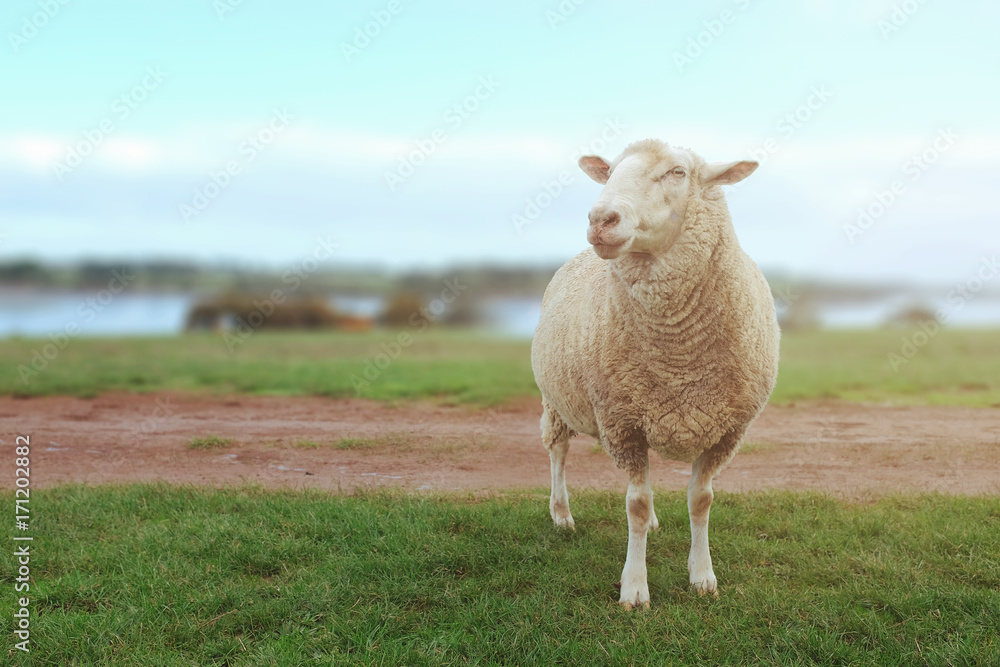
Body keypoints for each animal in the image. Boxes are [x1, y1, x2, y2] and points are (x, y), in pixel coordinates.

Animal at [530, 139, 779, 609]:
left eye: (677, 172)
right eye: (610, 172)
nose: (600, 219)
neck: (679, 359)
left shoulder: (726, 430)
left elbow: (700, 499)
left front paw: (702, 576)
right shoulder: (622, 423)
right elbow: (636, 505)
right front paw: (634, 588)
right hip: (558, 400)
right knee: (557, 452)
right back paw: (562, 515)